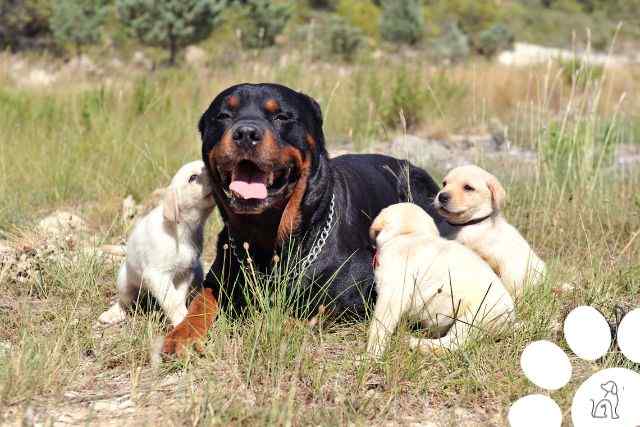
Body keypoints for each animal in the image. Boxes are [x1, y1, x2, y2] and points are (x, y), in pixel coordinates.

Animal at [98, 161, 215, 328]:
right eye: (192, 177)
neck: (182, 230)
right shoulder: (157, 275)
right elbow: (172, 300)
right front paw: (181, 320)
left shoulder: (185, 273)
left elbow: (177, 298)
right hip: (125, 280)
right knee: (124, 300)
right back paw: (113, 314)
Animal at [162, 83, 442, 354]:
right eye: (222, 116)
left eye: (282, 116)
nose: (246, 133)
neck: (266, 235)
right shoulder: (219, 276)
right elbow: (201, 302)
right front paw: (181, 335)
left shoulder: (358, 288)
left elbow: (308, 313)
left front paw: (267, 325)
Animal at [368, 204, 512, 358]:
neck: (409, 234)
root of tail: (511, 318)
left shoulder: (392, 294)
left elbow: (379, 327)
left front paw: (371, 355)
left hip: (473, 318)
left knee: (453, 343)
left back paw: (415, 343)